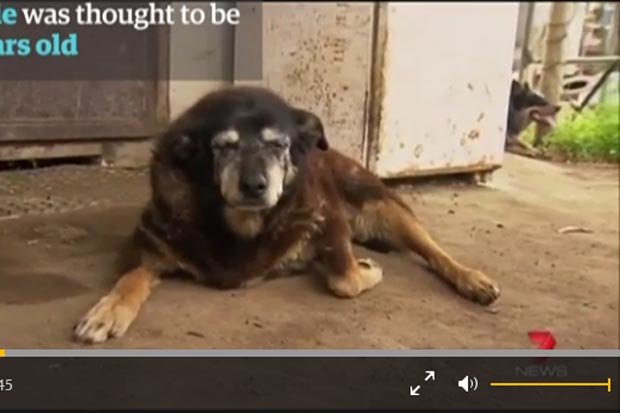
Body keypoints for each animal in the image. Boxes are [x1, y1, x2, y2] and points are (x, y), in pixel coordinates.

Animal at [72, 85, 502, 342]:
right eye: (223, 147)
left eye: (278, 145)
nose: (254, 186)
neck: (242, 228)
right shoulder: (148, 244)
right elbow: (131, 277)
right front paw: (107, 311)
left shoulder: (327, 219)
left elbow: (345, 280)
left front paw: (366, 269)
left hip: (385, 207)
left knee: (434, 250)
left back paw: (472, 280)